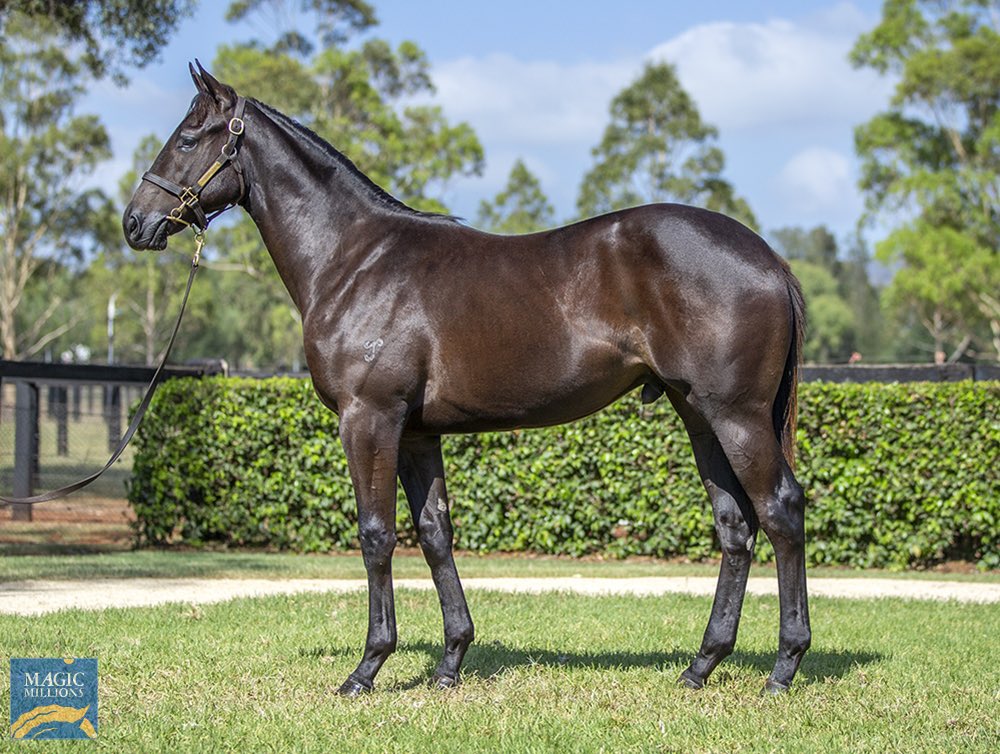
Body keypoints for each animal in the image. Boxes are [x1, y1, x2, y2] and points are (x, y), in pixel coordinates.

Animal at [124, 63, 810, 696]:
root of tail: (769, 259)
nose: (135, 222)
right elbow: (434, 534)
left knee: (780, 510)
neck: (354, 259)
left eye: (188, 138)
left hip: (736, 416)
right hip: (698, 415)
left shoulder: (369, 419)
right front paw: (450, 663)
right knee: (735, 525)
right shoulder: (416, 434)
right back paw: (701, 666)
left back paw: (784, 667)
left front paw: (367, 669)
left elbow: (376, 535)